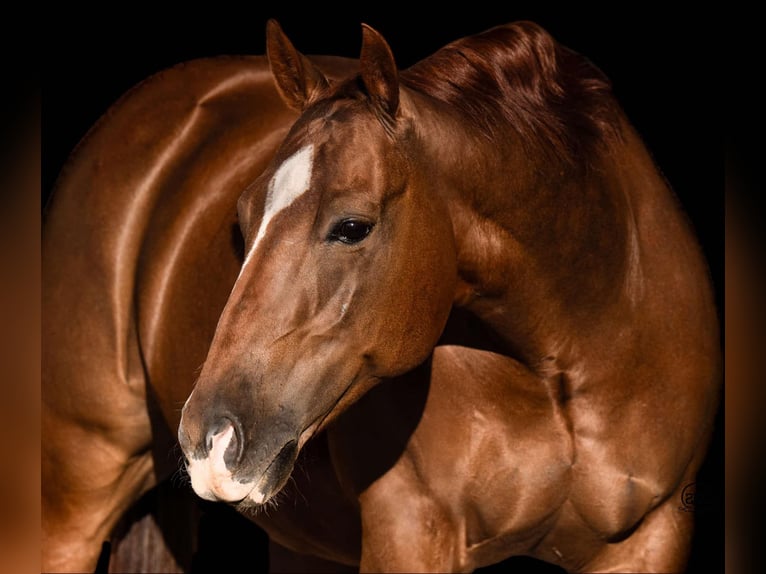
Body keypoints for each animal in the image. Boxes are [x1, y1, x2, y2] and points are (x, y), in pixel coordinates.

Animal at [42, 19, 724, 574]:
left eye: (352, 226)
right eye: (240, 221)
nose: (210, 439)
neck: (570, 360)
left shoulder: (652, 539)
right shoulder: (411, 535)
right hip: (72, 499)